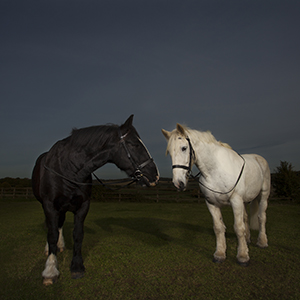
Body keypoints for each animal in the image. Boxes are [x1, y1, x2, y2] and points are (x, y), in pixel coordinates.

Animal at [31, 115, 159, 286]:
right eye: (135, 144)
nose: (155, 175)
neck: (68, 168)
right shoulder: (50, 205)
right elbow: (51, 234)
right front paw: (50, 270)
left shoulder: (83, 206)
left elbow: (78, 234)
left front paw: (77, 266)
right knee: (51, 226)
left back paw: (60, 245)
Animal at [163, 123, 270, 264]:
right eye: (170, 153)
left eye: (184, 148)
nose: (178, 183)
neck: (215, 171)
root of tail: (259, 158)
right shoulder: (212, 203)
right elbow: (219, 228)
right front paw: (219, 254)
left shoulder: (236, 201)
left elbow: (238, 227)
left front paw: (242, 256)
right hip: (245, 201)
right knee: (246, 217)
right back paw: (247, 240)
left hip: (263, 196)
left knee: (261, 217)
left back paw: (262, 242)